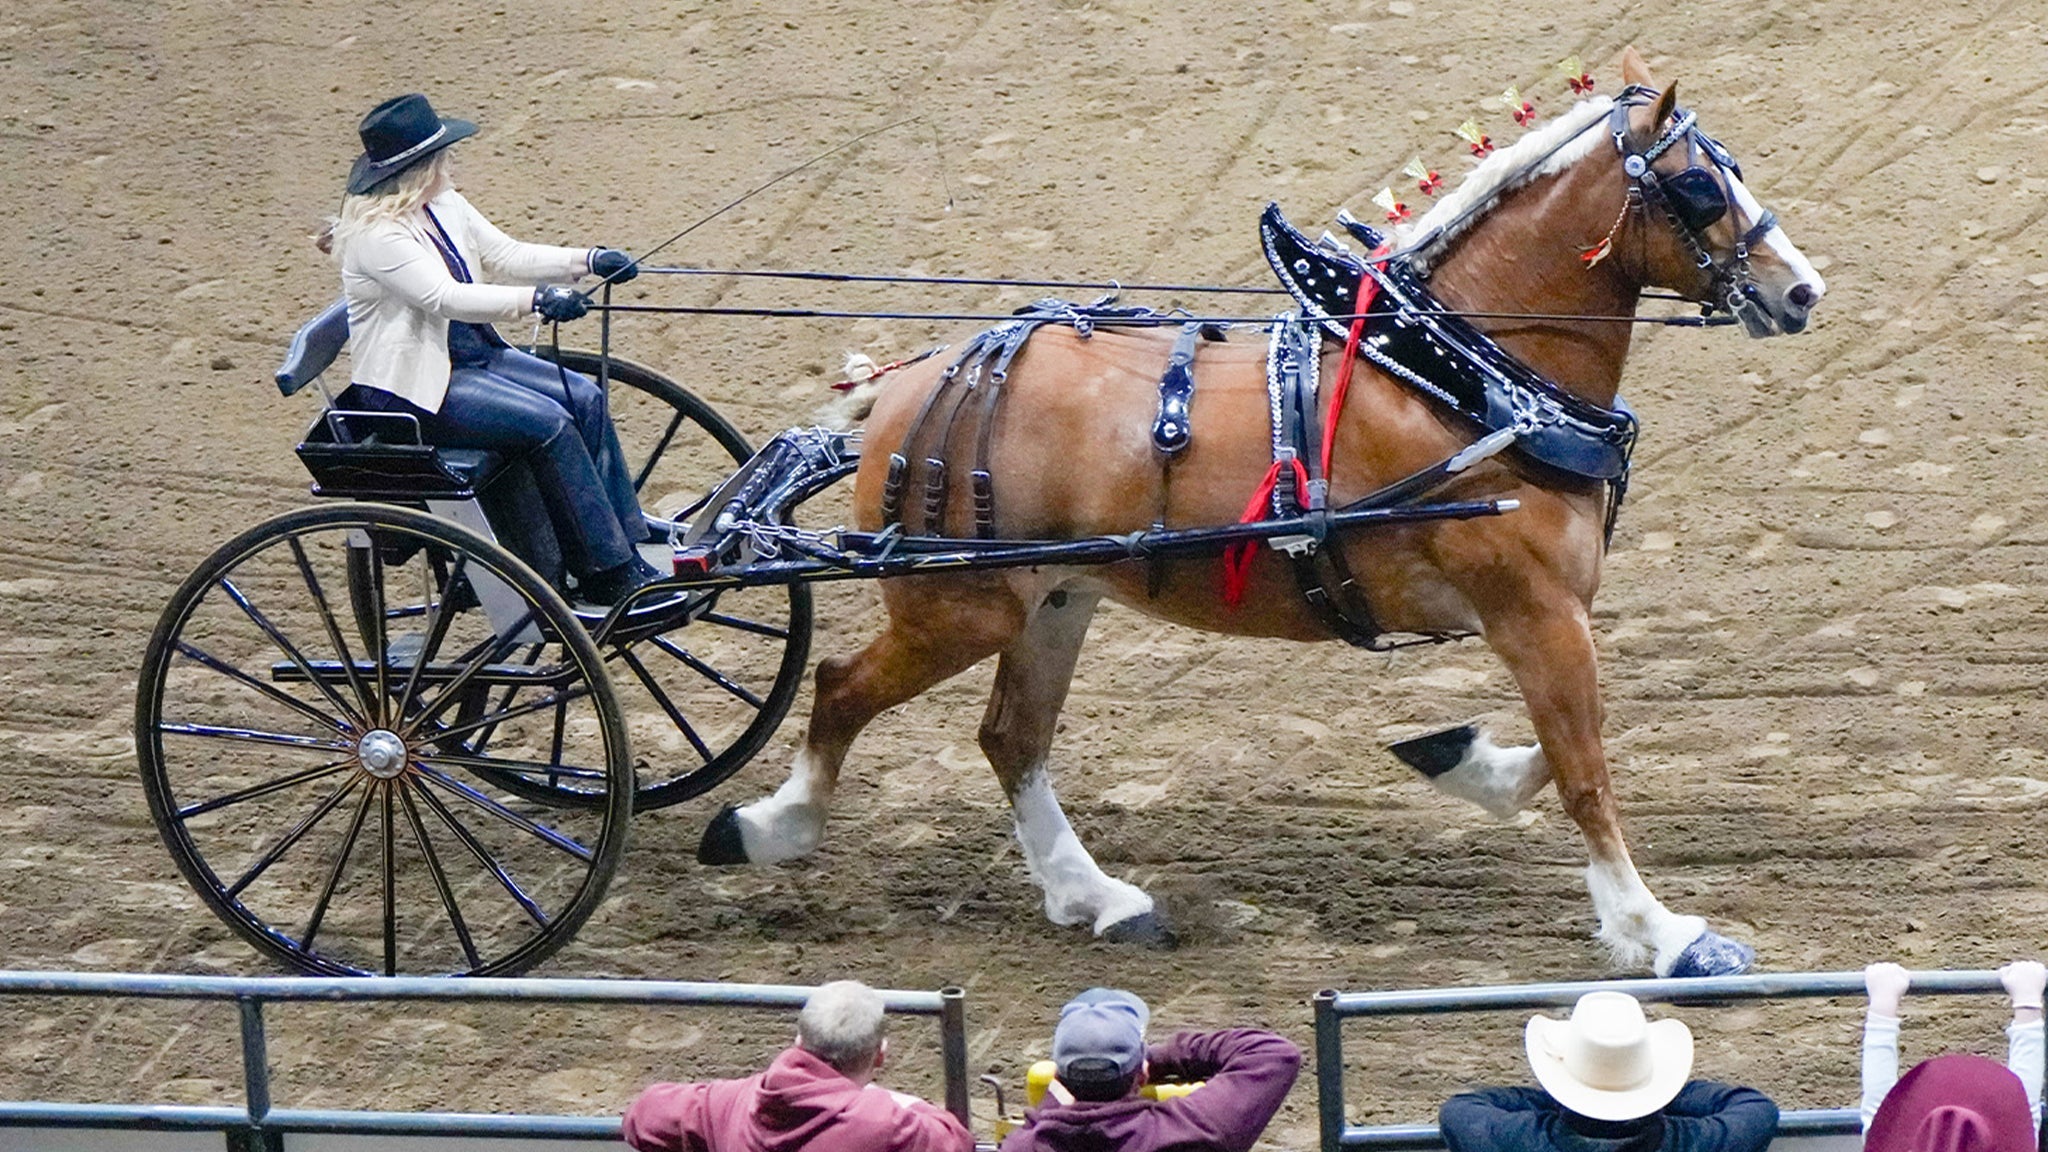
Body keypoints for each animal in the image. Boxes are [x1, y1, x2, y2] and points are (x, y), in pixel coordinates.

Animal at [694, 49, 1826, 977]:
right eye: (1697, 184)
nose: (1802, 291)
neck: (1464, 380)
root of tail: (911, 381)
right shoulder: (1535, 612)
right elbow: (1586, 767)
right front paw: (1660, 932)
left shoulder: (1545, 620)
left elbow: (1564, 747)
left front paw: (1461, 760)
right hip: (960, 608)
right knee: (843, 688)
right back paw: (771, 828)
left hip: (1054, 599)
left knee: (1010, 737)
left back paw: (1096, 898)